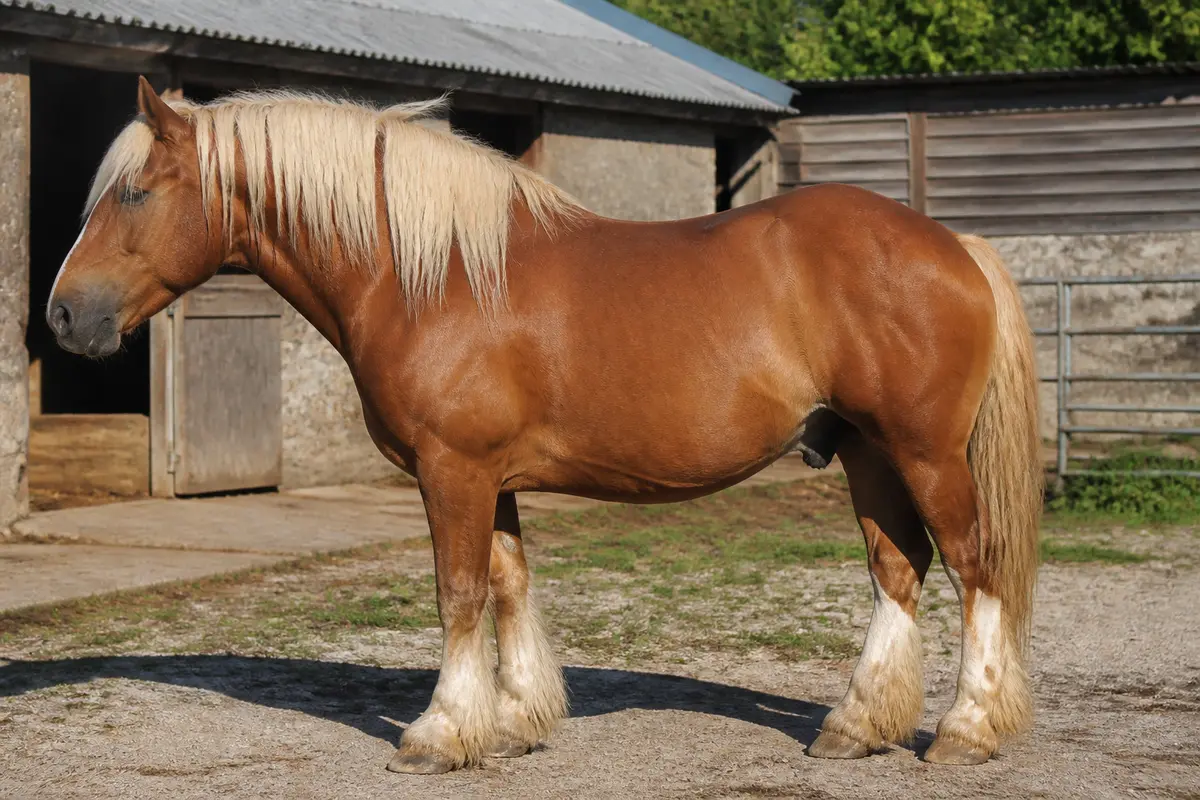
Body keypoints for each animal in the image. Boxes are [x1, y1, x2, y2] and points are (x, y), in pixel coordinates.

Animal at [48, 77, 1042, 774]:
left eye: (134, 194)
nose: (63, 316)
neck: (432, 274)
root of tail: (952, 244)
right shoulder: (492, 477)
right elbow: (508, 584)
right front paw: (515, 721)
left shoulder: (452, 470)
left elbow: (458, 594)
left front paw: (440, 732)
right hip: (866, 451)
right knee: (899, 571)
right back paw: (856, 725)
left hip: (924, 452)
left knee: (974, 567)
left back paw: (965, 730)